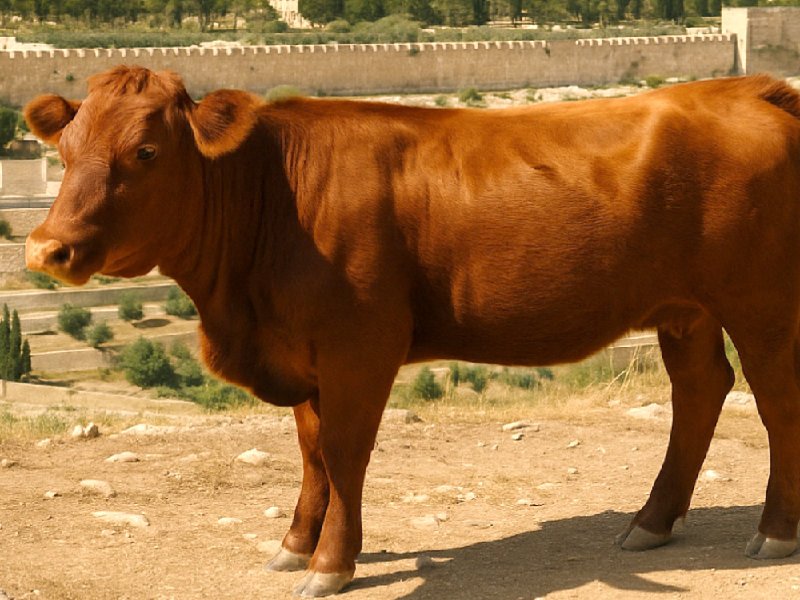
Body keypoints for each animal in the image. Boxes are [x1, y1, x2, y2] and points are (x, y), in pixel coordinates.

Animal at [23, 66, 800, 596]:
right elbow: (311, 452)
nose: (44, 249)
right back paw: (652, 522)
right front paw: (295, 542)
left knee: (773, 399)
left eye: (147, 152)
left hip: (760, 301)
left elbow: (344, 453)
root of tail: (746, 88)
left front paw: (331, 564)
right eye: (65, 149)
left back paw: (775, 531)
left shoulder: (359, 347)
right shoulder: (303, 350)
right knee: (700, 390)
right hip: (685, 308)